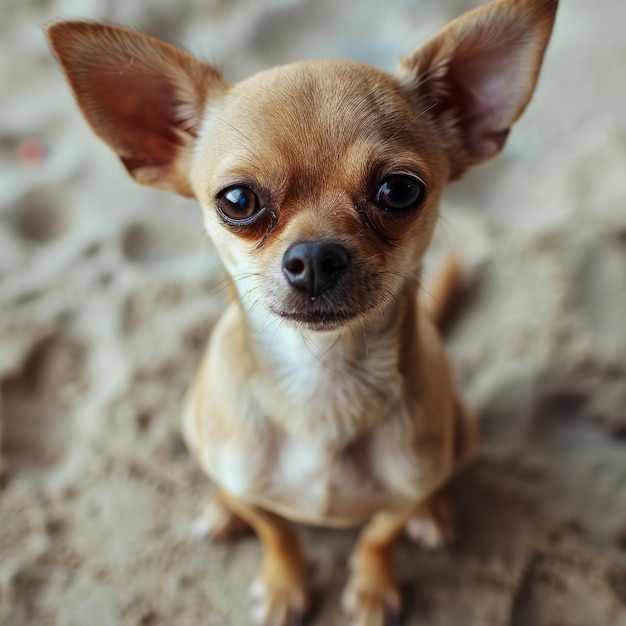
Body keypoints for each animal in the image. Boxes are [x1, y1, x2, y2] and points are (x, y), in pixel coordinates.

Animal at [47, 2, 556, 620]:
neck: (323, 381)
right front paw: (284, 588)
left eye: (399, 191)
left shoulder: (403, 488)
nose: (314, 257)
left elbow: (379, 535)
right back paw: (222, 507)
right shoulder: (260, 496)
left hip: (466, 431)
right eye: (237, 200)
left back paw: (432, 513)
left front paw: (373, 588)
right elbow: (279, 534)